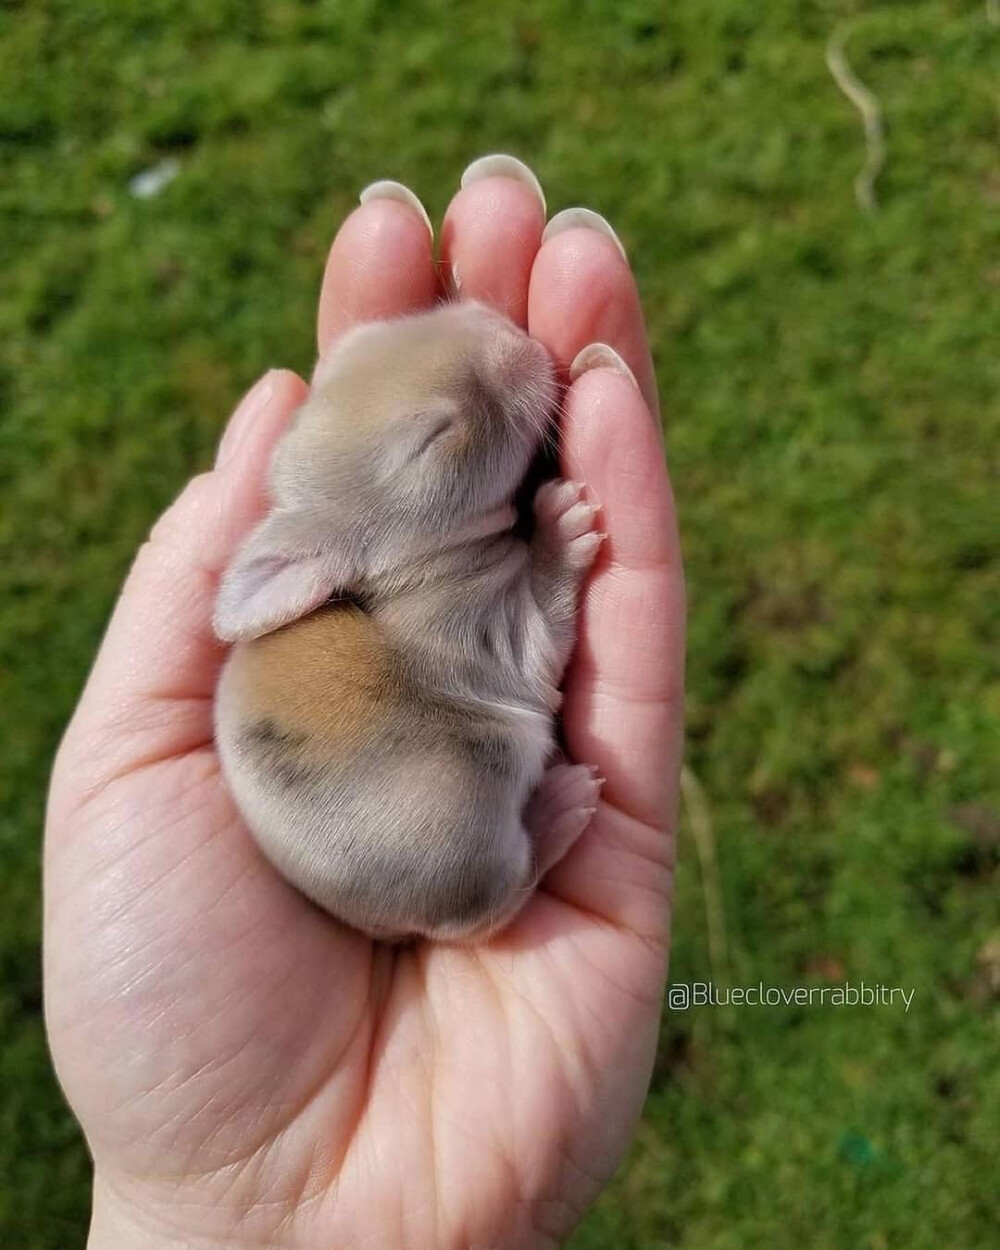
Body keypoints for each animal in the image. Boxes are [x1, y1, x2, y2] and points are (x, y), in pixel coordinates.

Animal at [212, 302, 602, 940]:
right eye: (433, 438)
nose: (510, 337)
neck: (418, 568)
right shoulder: (483, 638)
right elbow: (543, 633)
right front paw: (561, 526)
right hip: (461, 818)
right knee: (492, 912)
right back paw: (562, 805)